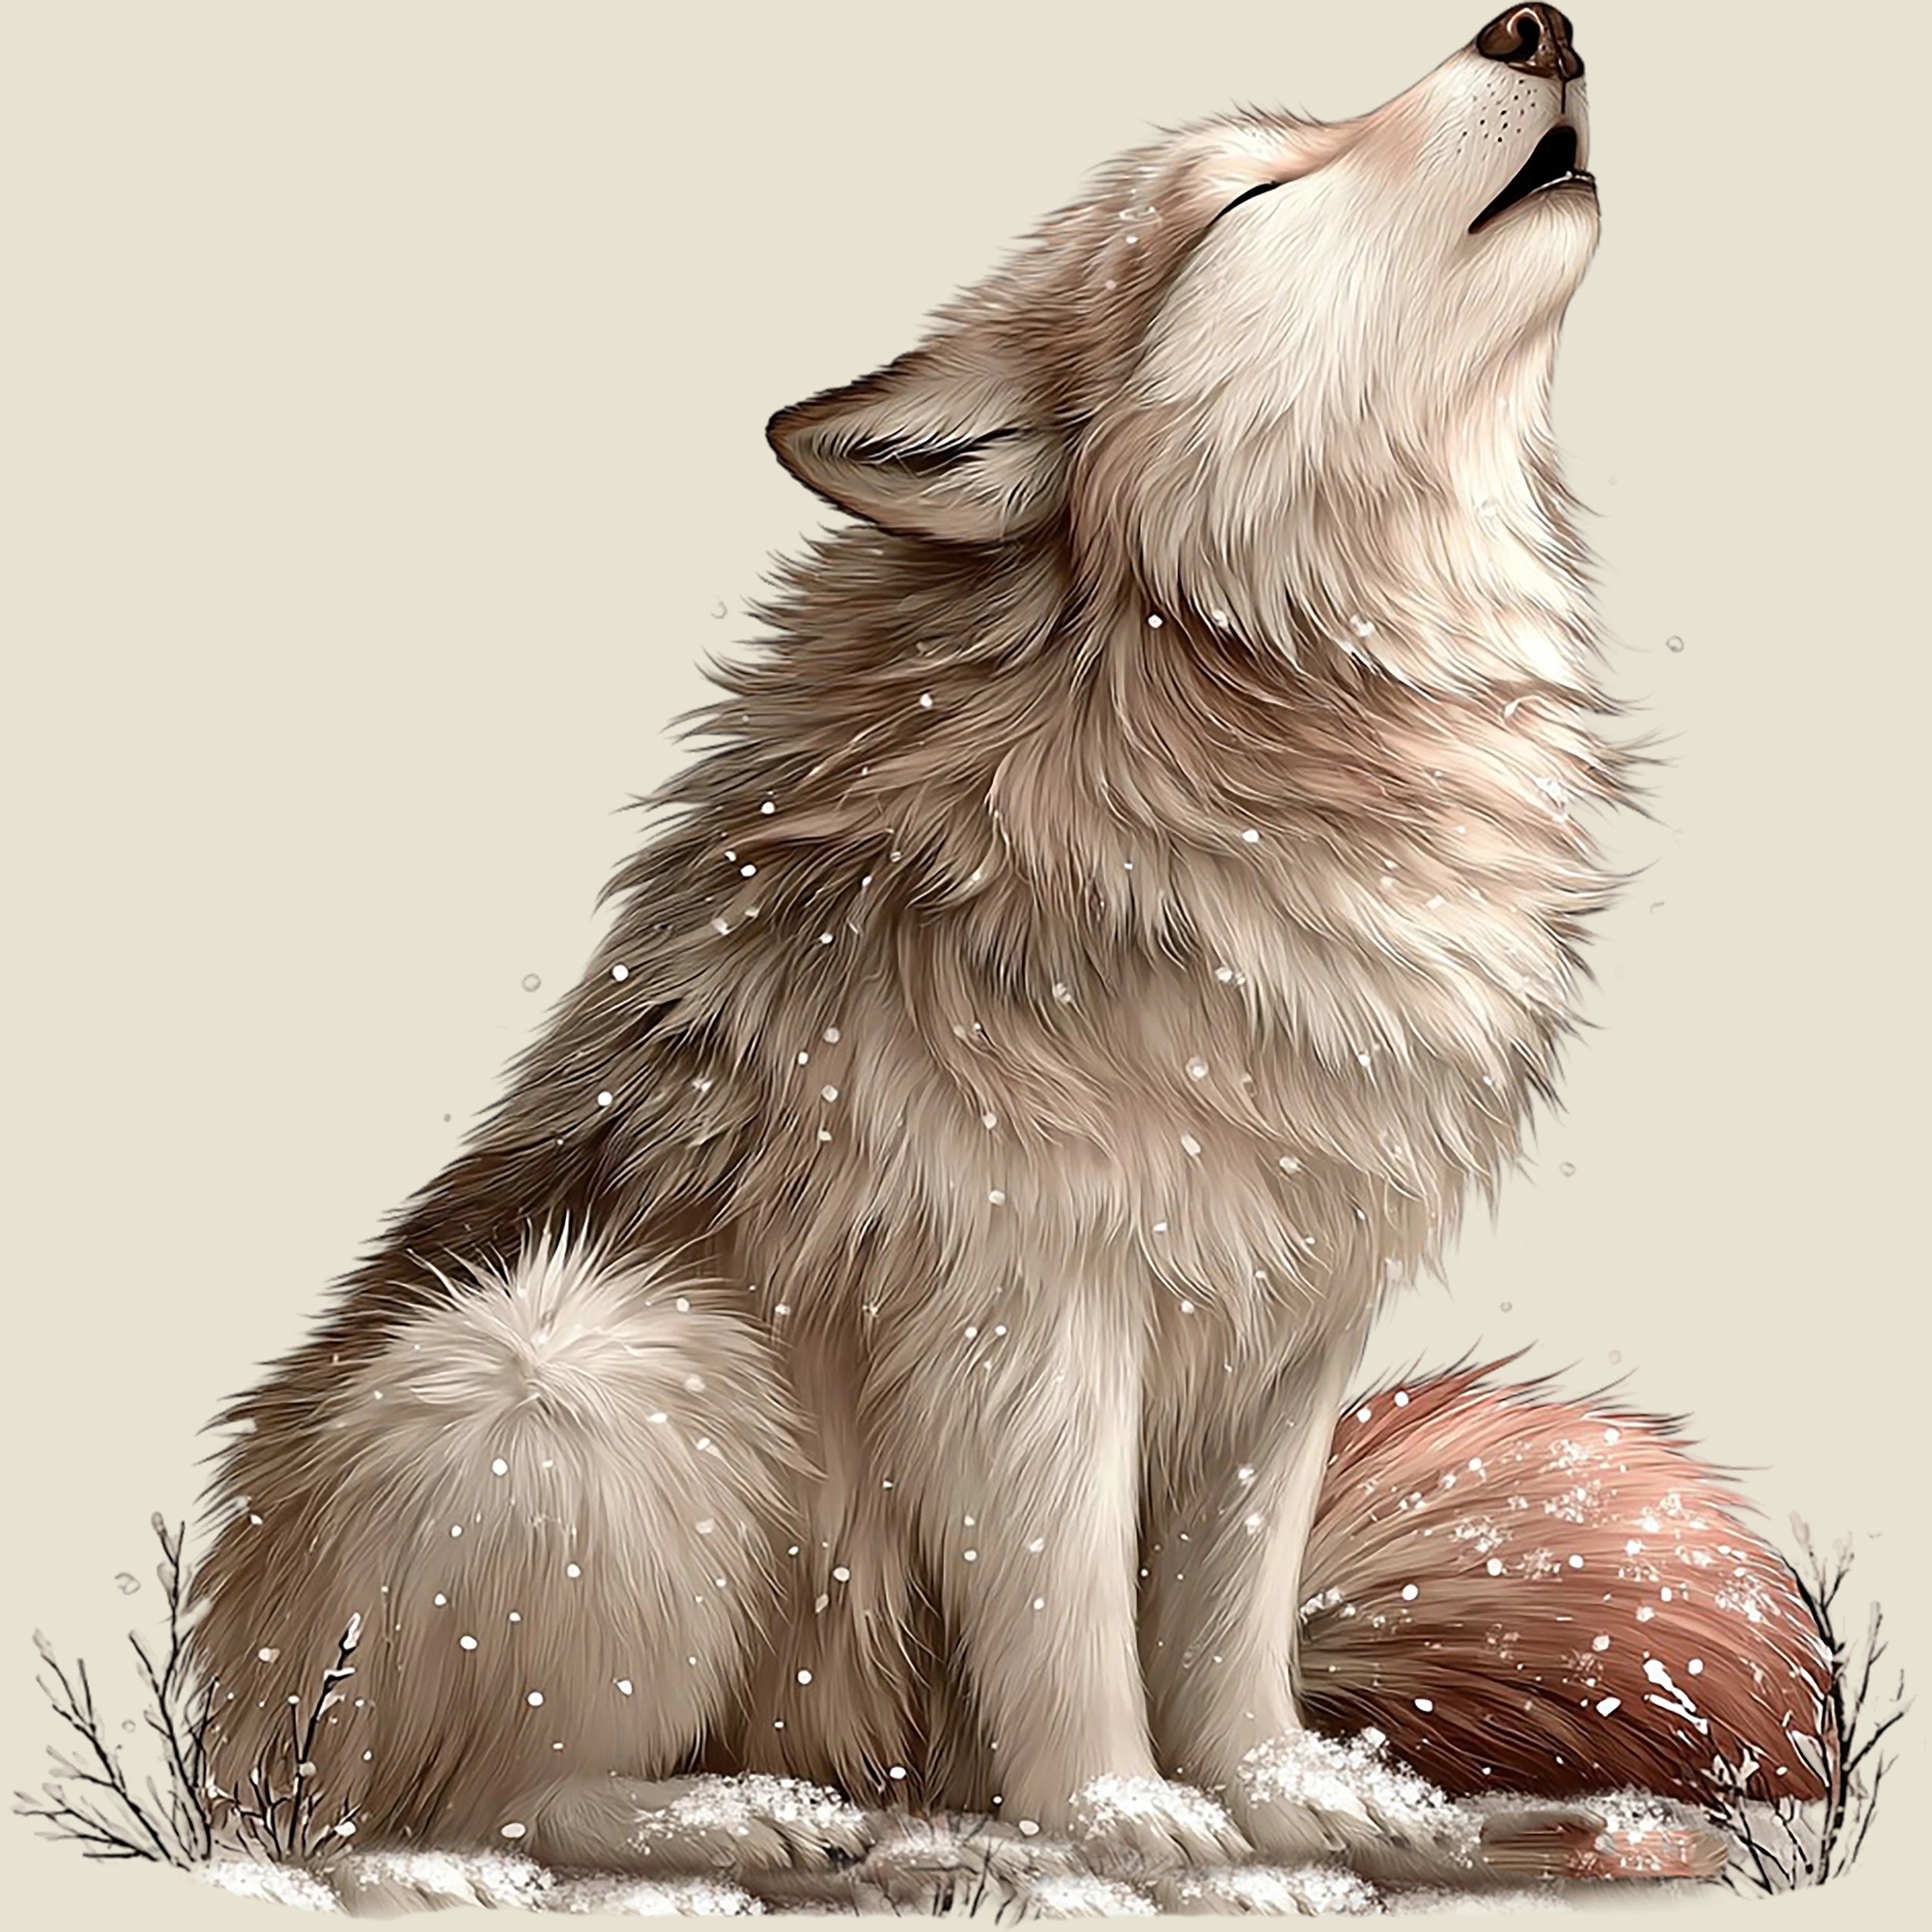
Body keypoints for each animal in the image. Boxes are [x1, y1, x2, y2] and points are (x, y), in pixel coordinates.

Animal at [187, 5, 1815, 1890]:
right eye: (1254, 196)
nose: (1532, 25)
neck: (1251, 680)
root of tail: (235, 1721)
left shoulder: (1289, 1335)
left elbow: (1226, 1620)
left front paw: (1292, 1793)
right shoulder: (1021, 1326)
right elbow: (1068, 1623)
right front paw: (1127, 1819)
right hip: (590, 1361)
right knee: (464, 1808)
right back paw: (731, 1813)